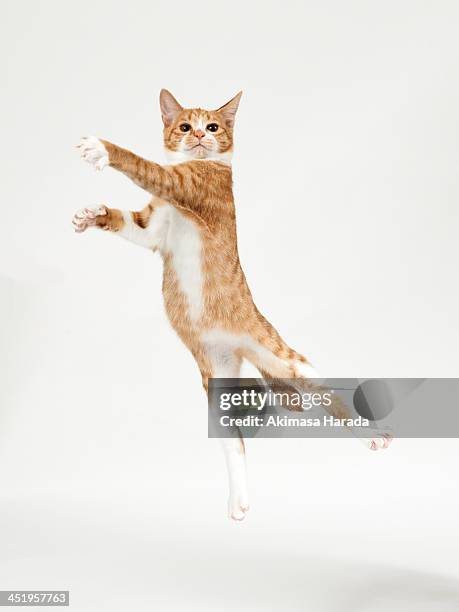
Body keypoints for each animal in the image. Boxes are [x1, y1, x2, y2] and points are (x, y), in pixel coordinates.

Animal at [73, 89, 392, 520]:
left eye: (212, 126)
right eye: (184, 126)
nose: (199, 136)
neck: (193, 164)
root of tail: (240, 348)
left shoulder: (184, 188)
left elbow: (143, 164)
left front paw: (102, 148)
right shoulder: (151, 229)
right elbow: (127, 220)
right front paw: (94, 214)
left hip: (287, 359)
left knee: (331, 396)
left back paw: (369, 434)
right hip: (216, 388)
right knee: (235, 445)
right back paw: (238, 500)